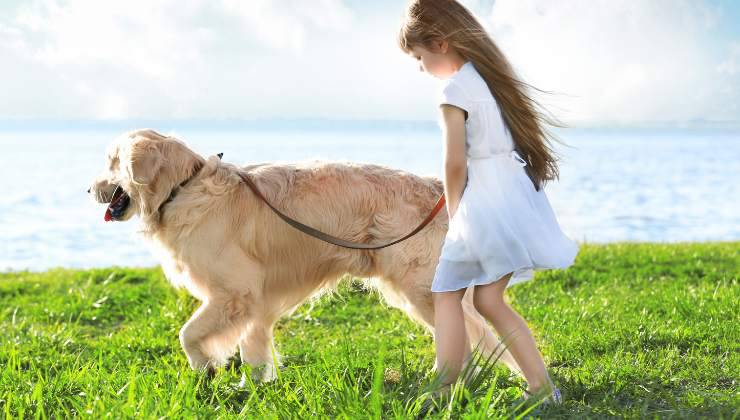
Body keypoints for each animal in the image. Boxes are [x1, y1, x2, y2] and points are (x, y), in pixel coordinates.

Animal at [86, 128, 520, 380]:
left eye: (111, 163)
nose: (88, 190)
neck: (183, 187)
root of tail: (436, 187)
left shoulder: (235, 294)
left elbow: (187, 333)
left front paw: (205, 368)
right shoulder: (255, 301)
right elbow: (253, 348)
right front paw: (254, 387)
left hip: (420, 289)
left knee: (471, 333)